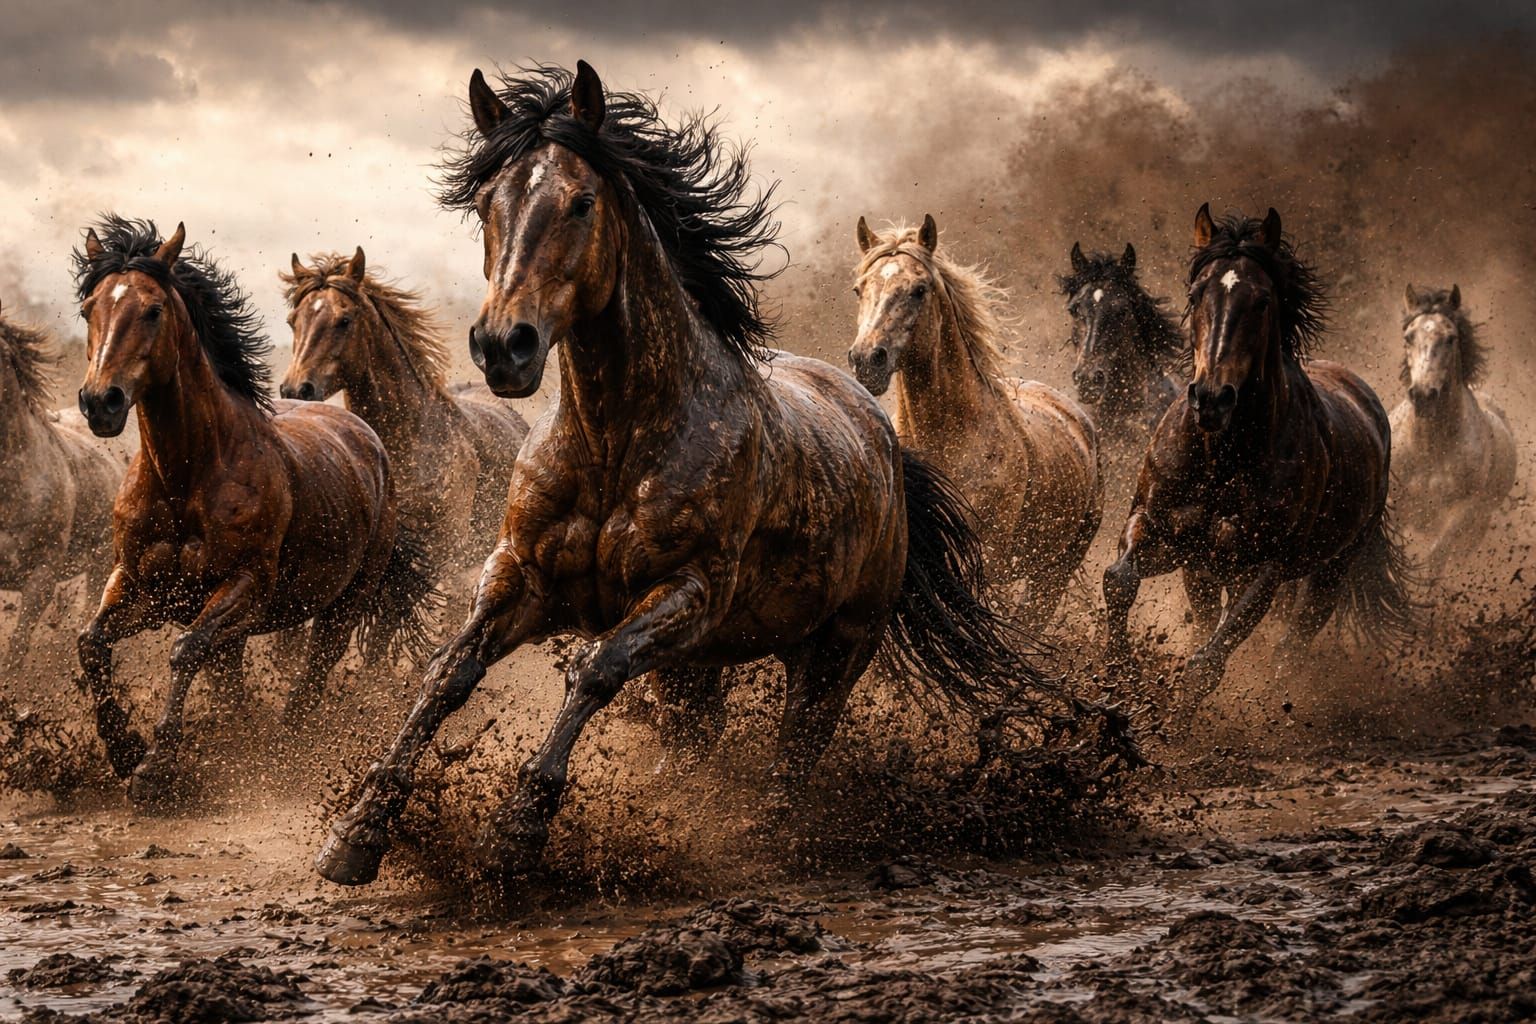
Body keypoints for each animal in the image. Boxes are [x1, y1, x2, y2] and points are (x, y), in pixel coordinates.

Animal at [73, 216, 436, 807]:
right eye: (89, 308)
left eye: (153, 310)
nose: (100, 402)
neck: (186, 478)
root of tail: (371, 442)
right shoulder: (139, 584)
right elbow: (92, 643)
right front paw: (123, 749)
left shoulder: (246, 586)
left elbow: (184, 649)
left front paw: (156, 767)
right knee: (230, 679)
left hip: (344, 605)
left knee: (312, 676)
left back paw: (284, 748)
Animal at [316, 61, 1046, 887]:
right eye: (485, 204)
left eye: (581, 201)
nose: (505, 346)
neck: (616, 442)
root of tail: (883, 438)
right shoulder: (519, 574)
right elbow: (450, 671)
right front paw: (357, 832)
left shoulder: (687, 592)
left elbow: (594, 670)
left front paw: (518, 829)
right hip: (699, 665)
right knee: (694, 734)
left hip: (837, 646)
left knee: (798, 748)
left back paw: (768, 841)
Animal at [847, 217, 1103, 628]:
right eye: (860, 289)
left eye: (919, 290)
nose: (866, 360)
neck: (952, 438)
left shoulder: (988, 560)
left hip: (1054, 570)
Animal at [1102, 205, 1415, 710]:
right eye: (1196, 292)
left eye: (1263, 301)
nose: (1212, 399)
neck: (1221, 460)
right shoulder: (1160, 531)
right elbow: (1118, 580)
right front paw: (1118, 671)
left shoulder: (1264, 570)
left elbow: (1208, 665)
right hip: (1203, 571)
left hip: (1331, 571)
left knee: (1293, 643)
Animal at [1388, 284, 1517, 577]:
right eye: (1408, 337)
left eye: (1450, 338)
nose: (1423, 395)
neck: (1429, 449)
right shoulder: (1393, 504)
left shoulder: (1462, 512)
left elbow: (1434, 559)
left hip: (1476, 527)